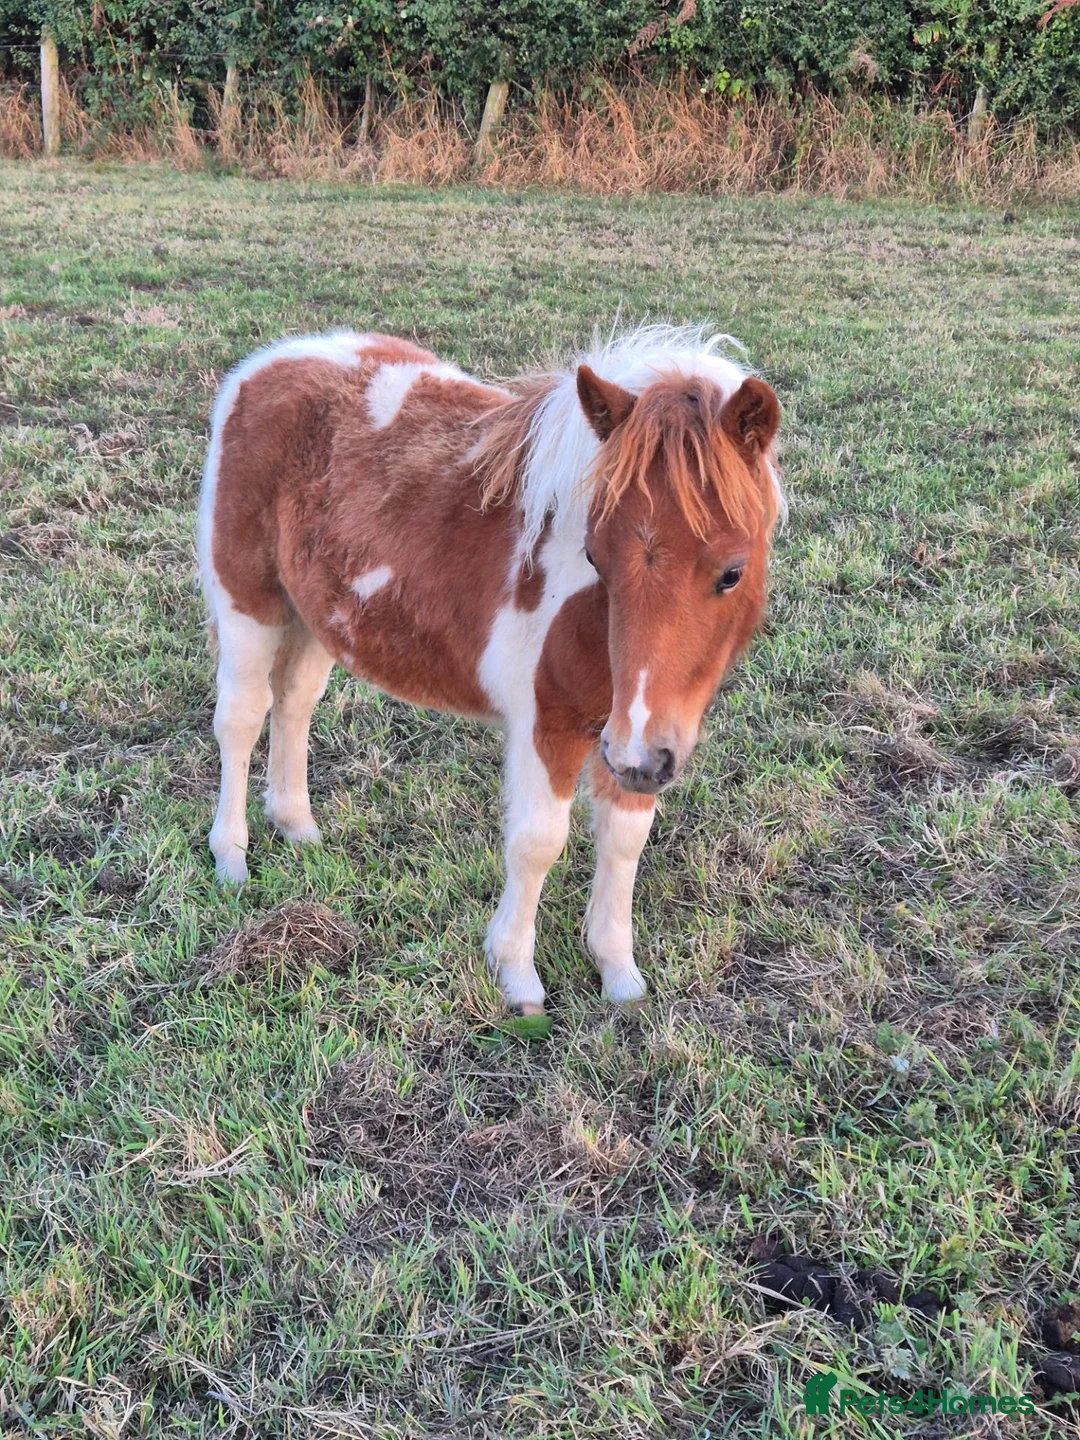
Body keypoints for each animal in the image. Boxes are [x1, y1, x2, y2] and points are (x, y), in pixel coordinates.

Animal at [198, 324, 783, 1013]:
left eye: (732, 572)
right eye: (595, 556)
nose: (641, 758)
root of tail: (266, 364)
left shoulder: (633, 735)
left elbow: (624, 840)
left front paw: (618, 973)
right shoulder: (550, 725)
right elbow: (538, 843)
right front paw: (517, 977)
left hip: (316, 616)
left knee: (293, 703)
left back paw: (296, 826)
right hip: (249, 605)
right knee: (241, 720)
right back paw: (232, 860)